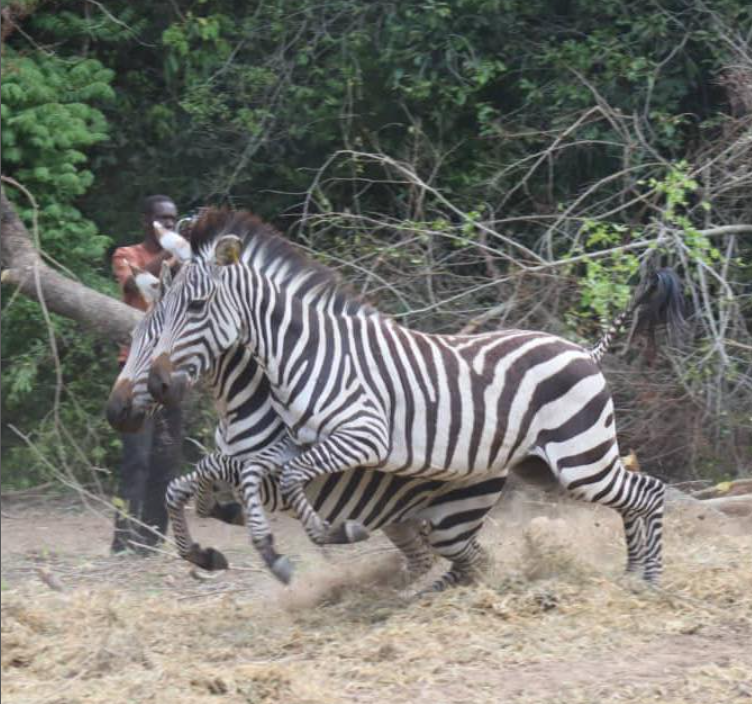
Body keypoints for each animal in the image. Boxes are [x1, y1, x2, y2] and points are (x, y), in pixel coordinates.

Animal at [106, 256, 508, 592]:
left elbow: (215, 471)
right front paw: (206, 549)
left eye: (154, 340)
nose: (115, 412)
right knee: (435, 558)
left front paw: (255, 538)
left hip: (450, 520)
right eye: (136, 337)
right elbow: (179, 488)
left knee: (472, 560)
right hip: (402, 520)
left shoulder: (269, 475)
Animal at [148, 208, 688, 584]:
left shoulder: (363, 437)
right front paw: (262, 540)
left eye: (196, 306)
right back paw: (632, 573)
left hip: (579, 459)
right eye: (161, 307)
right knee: (632, 495)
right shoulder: (297, 442)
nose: (156, 385)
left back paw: (651, 580)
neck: (304, 353)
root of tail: (582, 349)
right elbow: (262, 472)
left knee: (649, 491)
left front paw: (328, 534)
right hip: (550, 466)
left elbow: (291, 476)